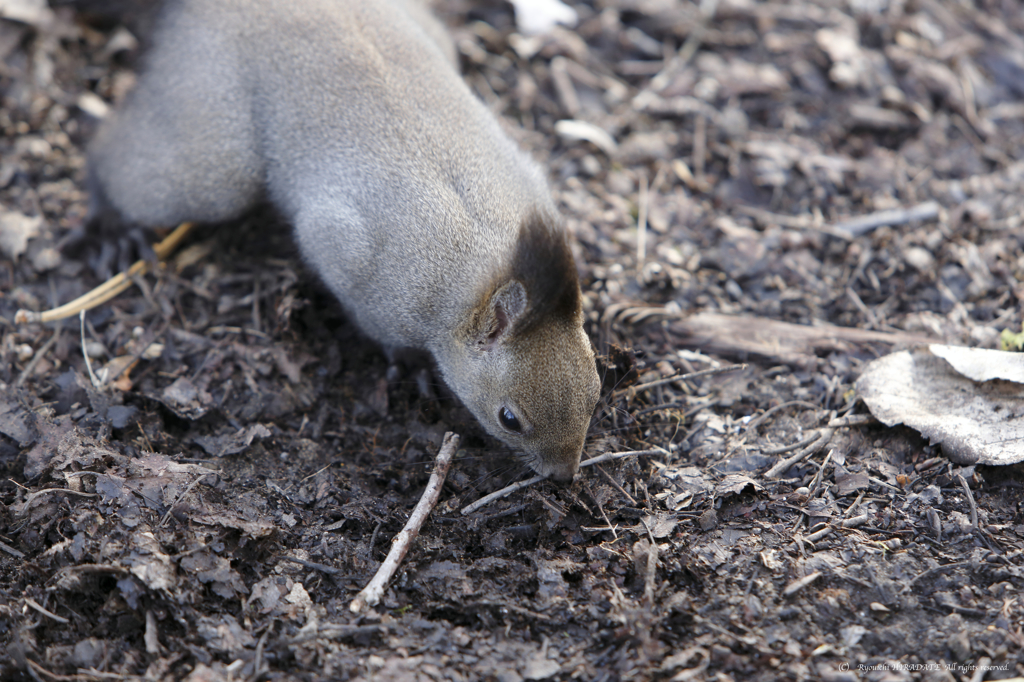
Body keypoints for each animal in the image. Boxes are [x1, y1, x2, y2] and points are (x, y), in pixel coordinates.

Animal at [88, 0, 602, 481]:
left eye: (596, 390)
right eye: (509, 418)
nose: (564, 475)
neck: (481, 267)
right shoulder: (351, 253)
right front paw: (409, 364)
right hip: (216, 159)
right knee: (117, 155)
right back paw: (115, 225)